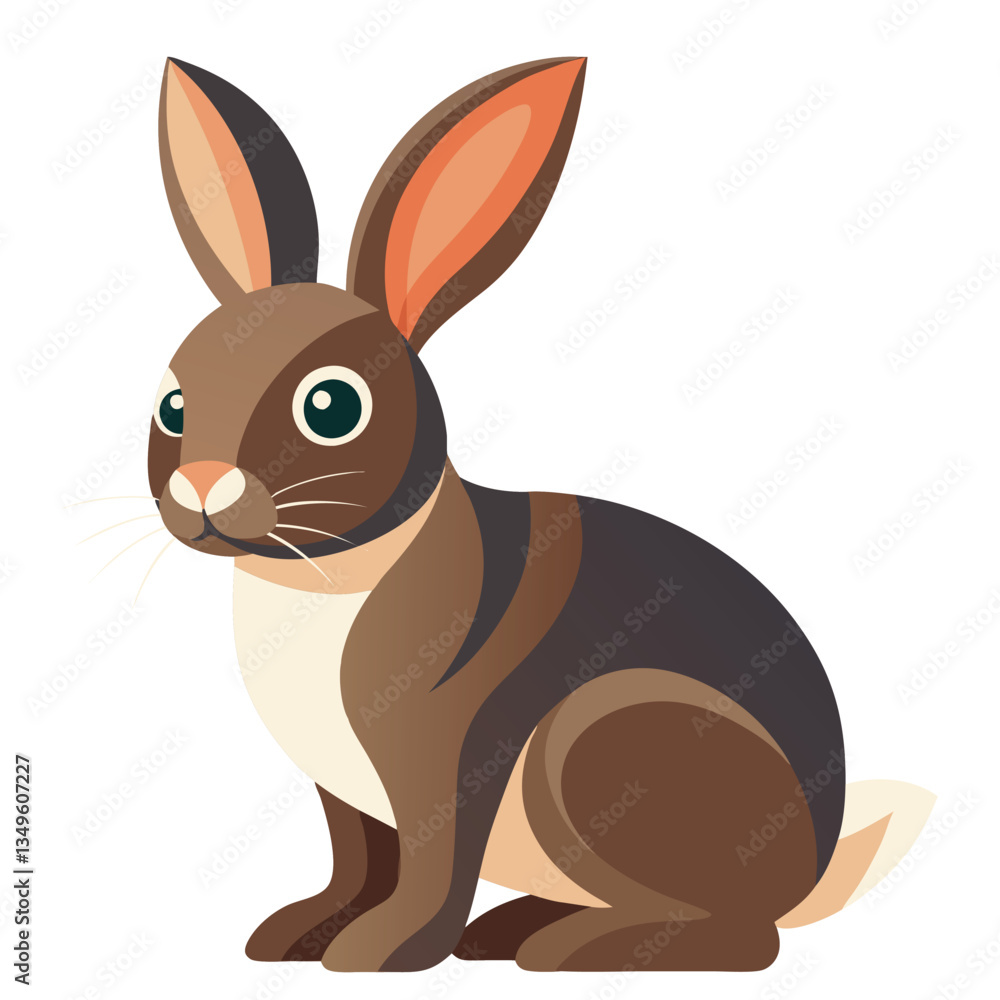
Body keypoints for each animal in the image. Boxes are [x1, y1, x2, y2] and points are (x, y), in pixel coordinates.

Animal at [150, 56, 935, 972]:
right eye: (172, 403)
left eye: (333, 406)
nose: (204, 486)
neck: (331, 570)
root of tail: (812, 867)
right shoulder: (342, 792)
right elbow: (356, 860)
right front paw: (299, 934)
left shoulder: (443, 756)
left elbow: (431, 863)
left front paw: (382, 952)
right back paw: (513, 932)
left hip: (591, 742)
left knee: (743, 937)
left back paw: (572, 949)